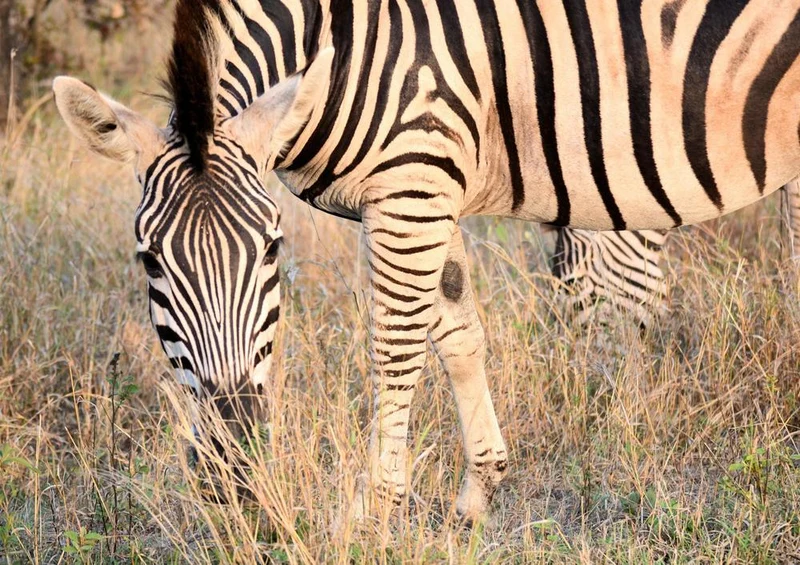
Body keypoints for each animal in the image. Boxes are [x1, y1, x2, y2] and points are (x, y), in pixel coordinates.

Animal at [52, 0, 800, 522]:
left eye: (272, 247)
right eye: (149, 261)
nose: (234, 455)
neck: (342, 44)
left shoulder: (414, 181)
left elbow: (396, 344)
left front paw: (373, 509)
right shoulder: (413, 192)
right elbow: (457, 329)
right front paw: (480, 489)